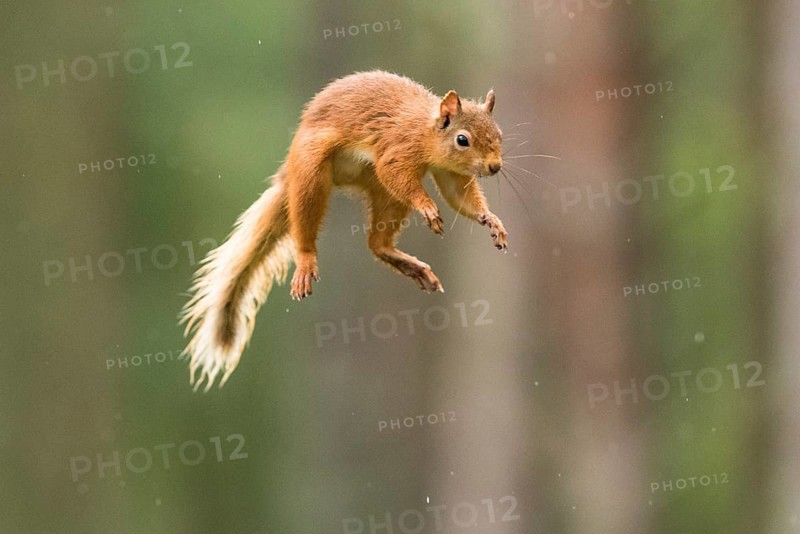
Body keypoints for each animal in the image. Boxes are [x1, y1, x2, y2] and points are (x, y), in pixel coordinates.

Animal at [180, 70, 507, 391]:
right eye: (462, 140)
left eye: (499, 135)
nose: (495, 167)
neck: (426, 131)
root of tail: (288, 173)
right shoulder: (396, 149)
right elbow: (398, 175)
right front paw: (426, 205)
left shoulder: (451, 173)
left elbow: (459, 196)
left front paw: (491, 220)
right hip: (312, 175)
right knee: (307, 224)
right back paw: (306, 260)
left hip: (383, 195)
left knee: (376, 243)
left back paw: (410, 265)